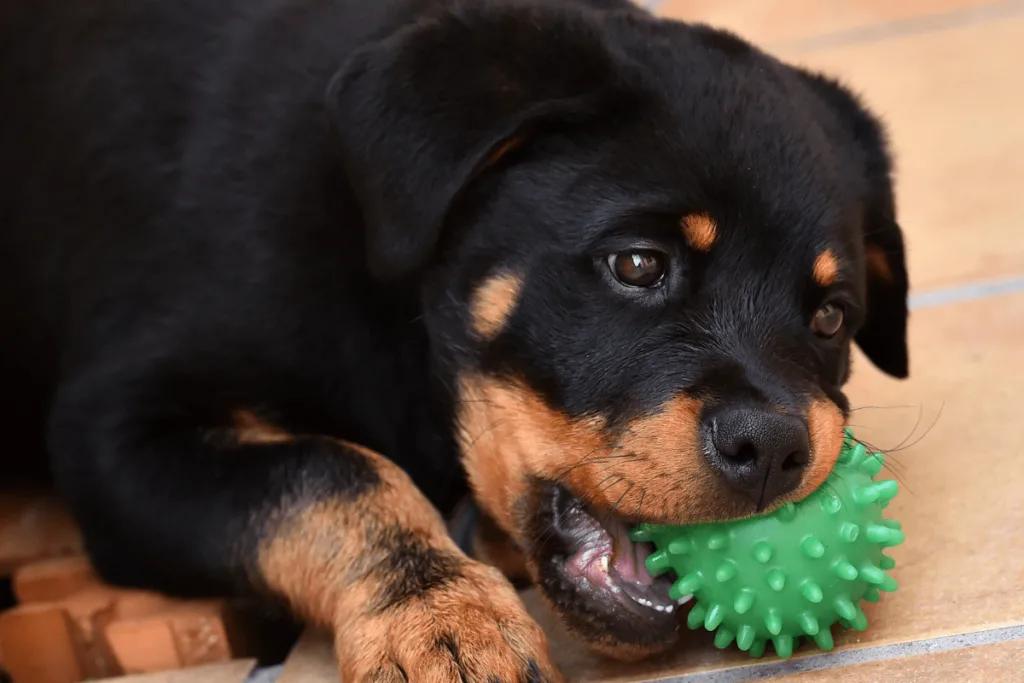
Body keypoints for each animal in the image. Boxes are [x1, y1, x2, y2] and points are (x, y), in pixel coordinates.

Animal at [0, 0, 913, 679]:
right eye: (637, 263)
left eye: (831, 316)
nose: (774, 449)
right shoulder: (112, 429)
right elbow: (331, 468)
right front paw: (439, 616)